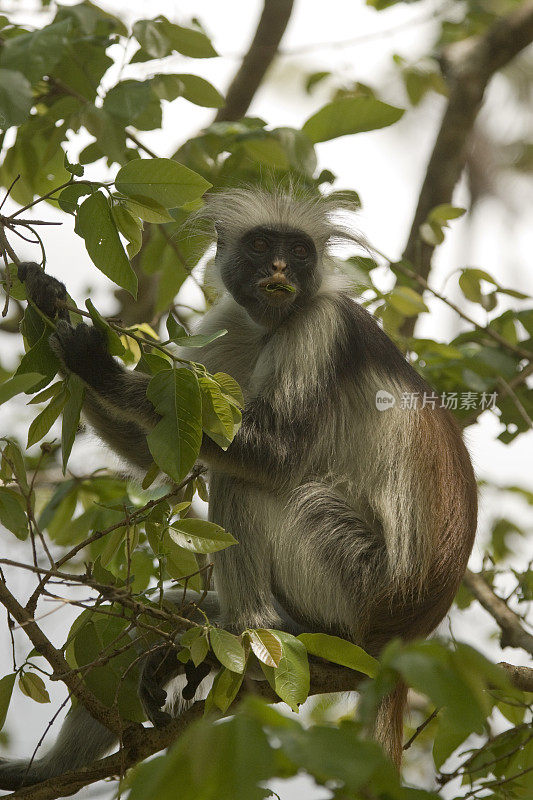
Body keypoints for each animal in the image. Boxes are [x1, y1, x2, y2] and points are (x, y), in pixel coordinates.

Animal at [0, 188, 474, 788]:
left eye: (299, 251)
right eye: (261, 245)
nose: (280, 269)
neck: (274, 325)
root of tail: (401, 639)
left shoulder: (317, 327)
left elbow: (275, 457)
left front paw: (97, 363)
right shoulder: (232, 321)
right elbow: (158, 451)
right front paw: (45, 298)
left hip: (353, 586)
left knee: (247, 484)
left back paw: (254, 637)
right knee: (146, 619)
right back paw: (49, 770)